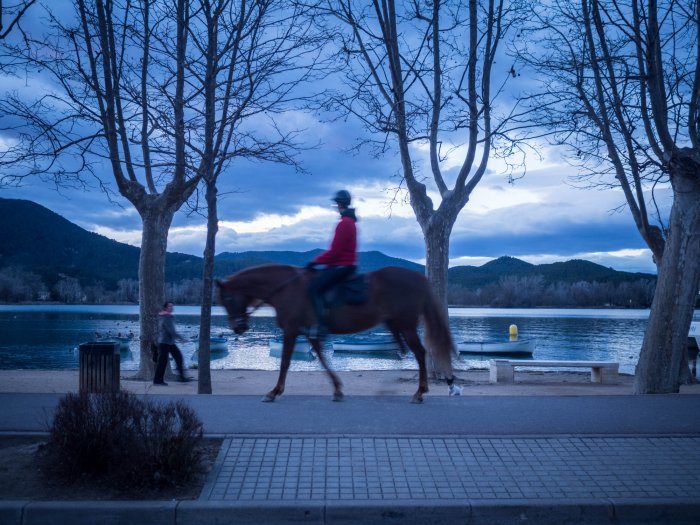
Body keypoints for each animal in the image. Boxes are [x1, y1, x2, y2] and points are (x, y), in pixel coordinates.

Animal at [216, 264, 462, 404]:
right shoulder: (310, 333)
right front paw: (337, 389)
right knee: (413, 352)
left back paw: (420, 392)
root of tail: (418, 278)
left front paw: (274, 392)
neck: (286, 289)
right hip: (400, 324)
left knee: (420, 353)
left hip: (407, 325)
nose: (238, 328)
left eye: (227, 299)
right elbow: (322, 359)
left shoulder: (291, 330)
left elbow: (285, 362)